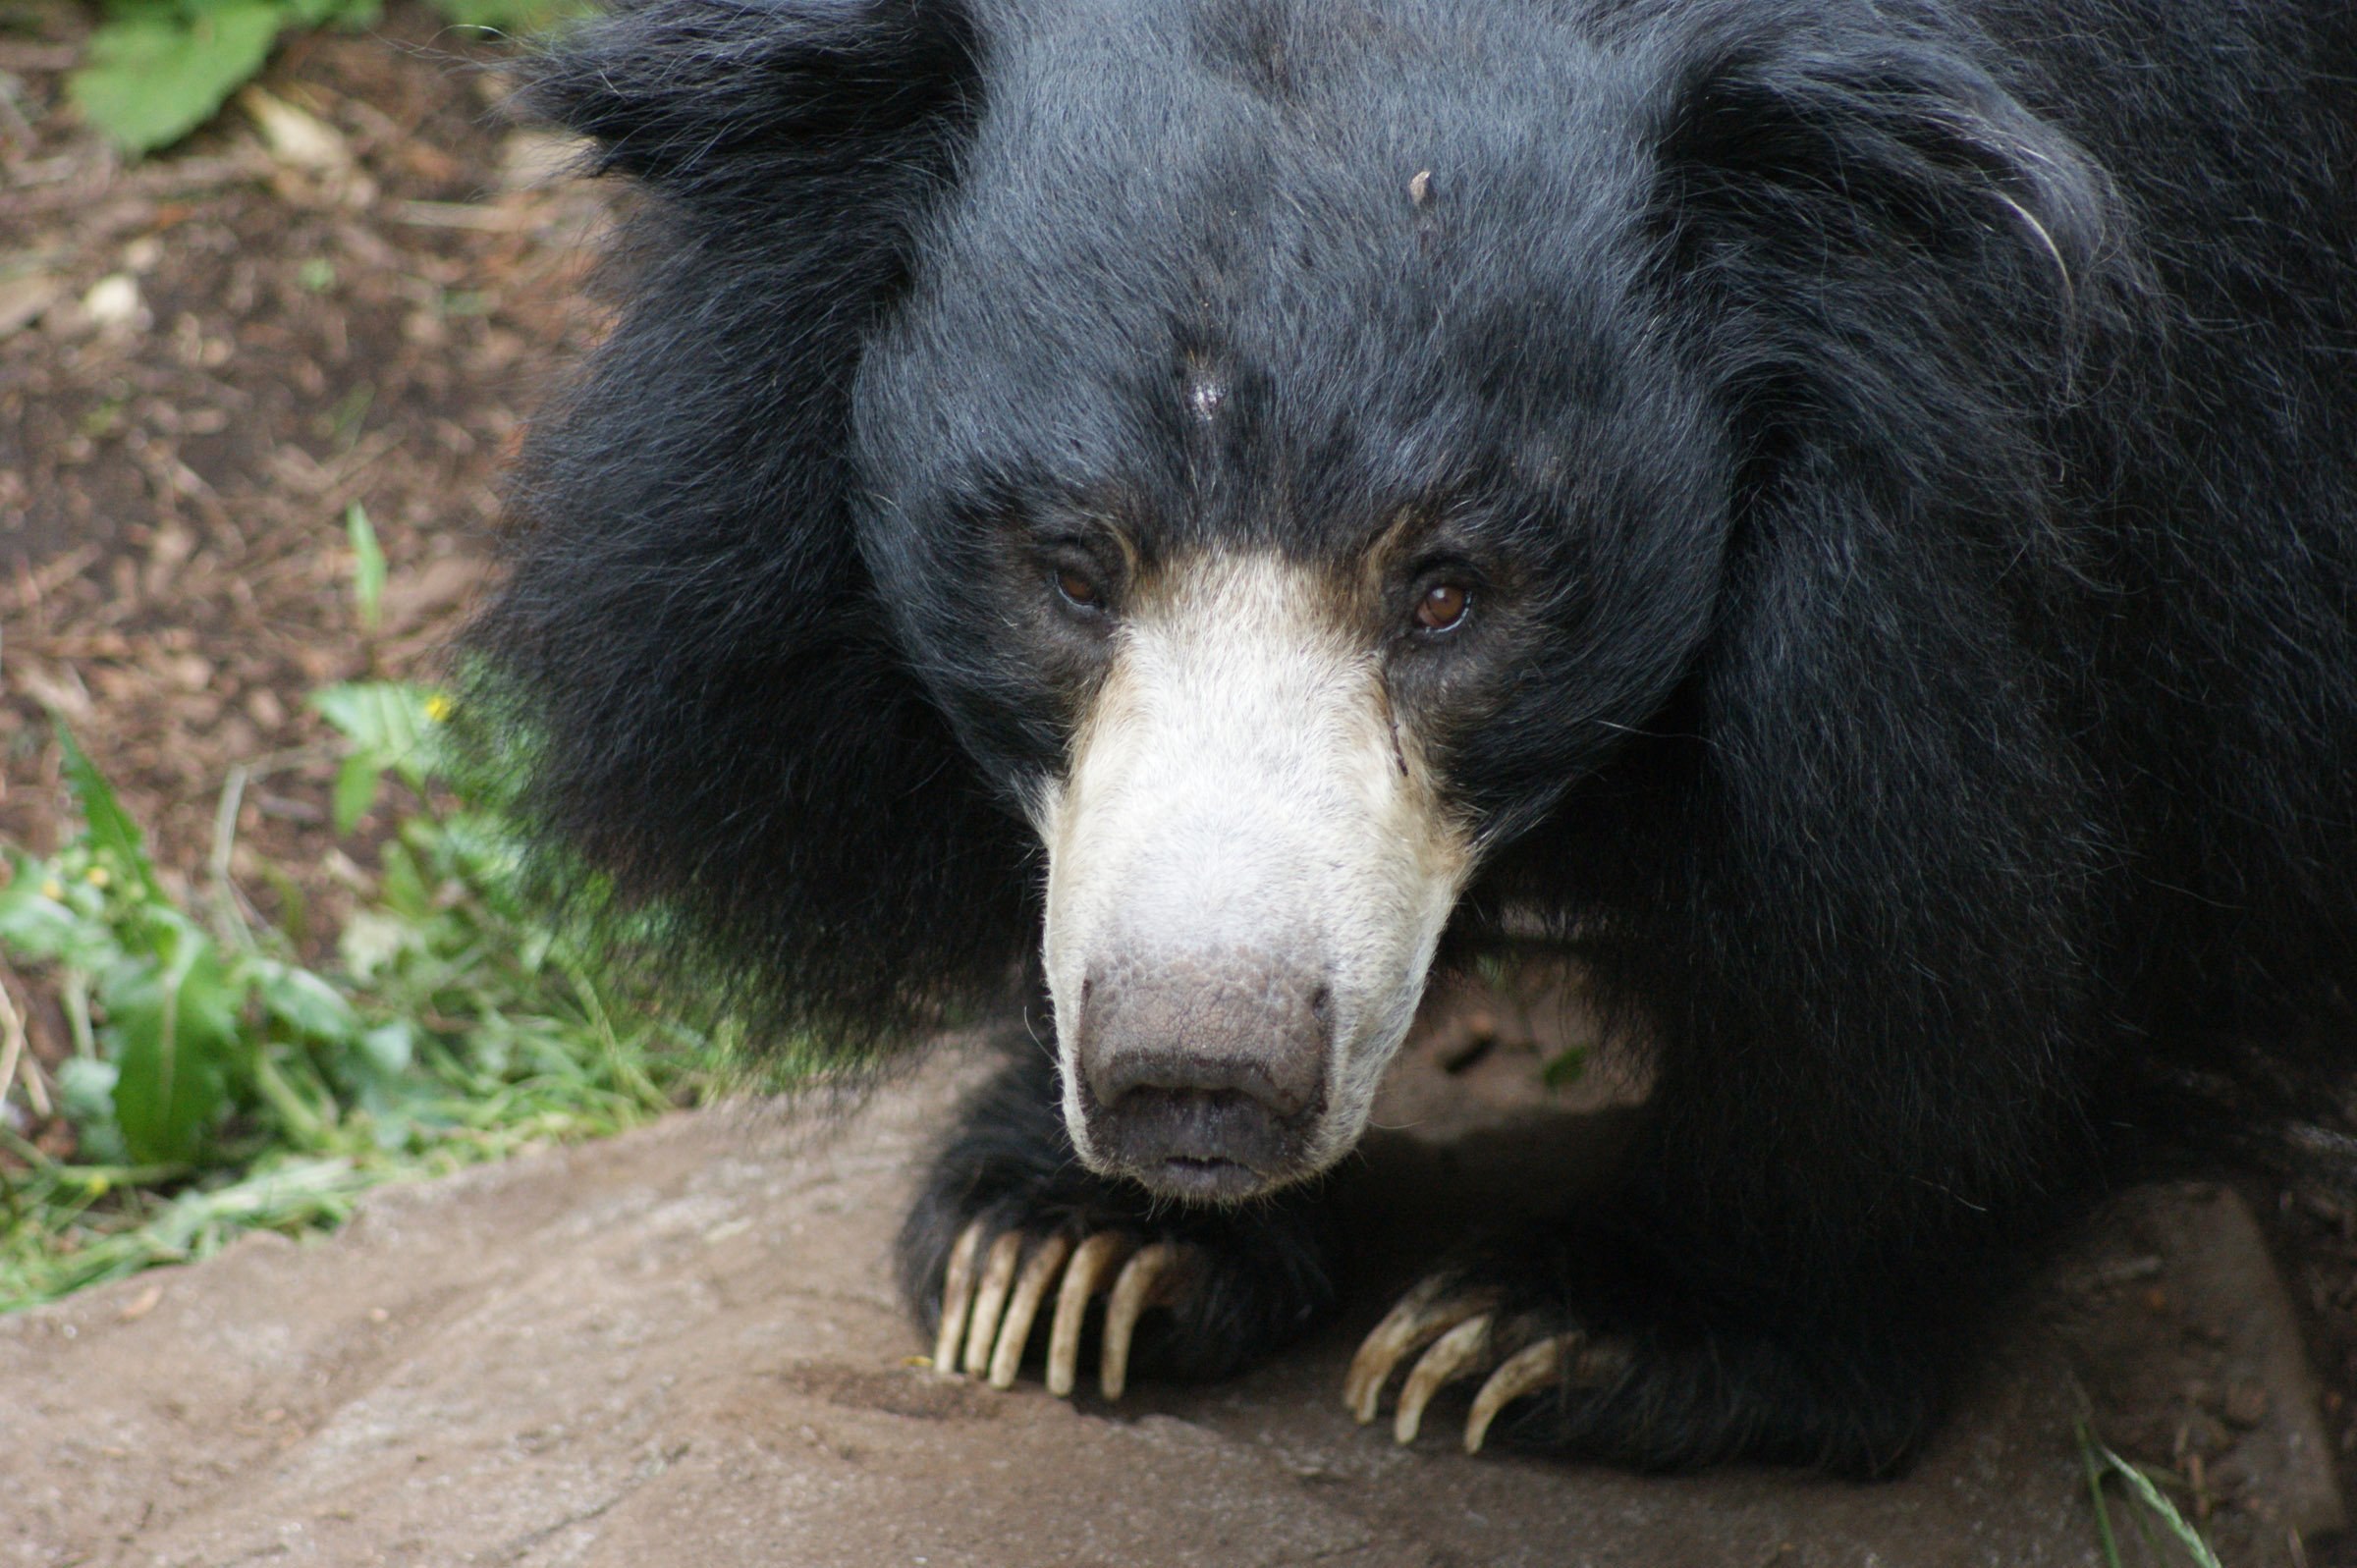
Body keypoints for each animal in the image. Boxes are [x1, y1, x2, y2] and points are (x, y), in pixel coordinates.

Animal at [468, 0, 2357, 1471]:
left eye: (1450, 592)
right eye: (1072, 566)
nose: (1200, 1076)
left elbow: (1994, 886)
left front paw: (1582, 1328)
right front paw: (1069, 1246)